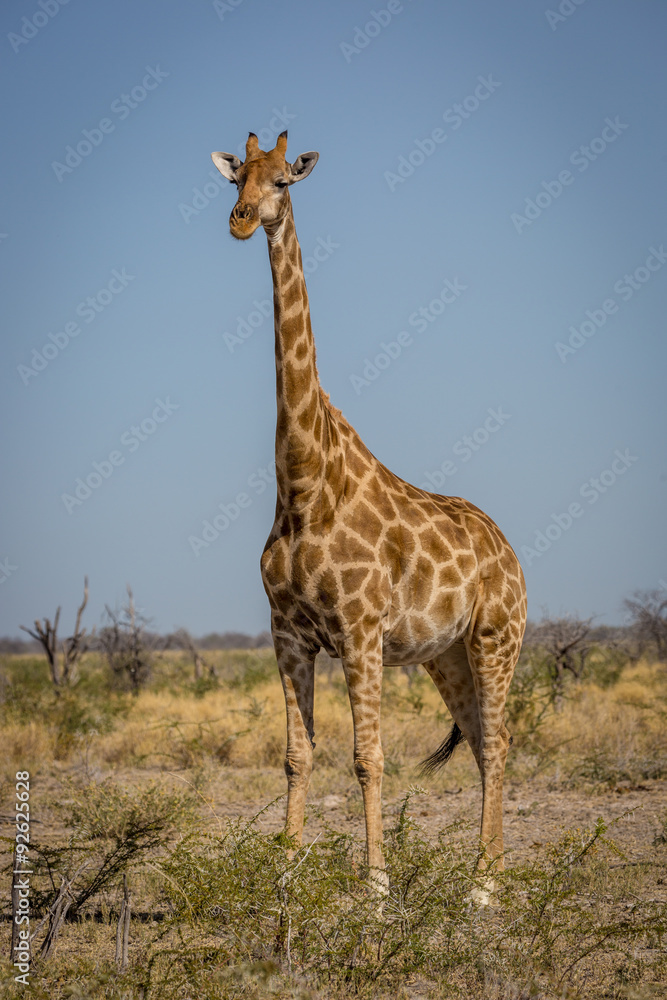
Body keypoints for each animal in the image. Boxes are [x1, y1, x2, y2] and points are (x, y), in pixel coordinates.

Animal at [212, 131, 527, 894]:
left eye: (283, 182)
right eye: (236, 180)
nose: (240, 220)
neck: (303, 485)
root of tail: (510, 551)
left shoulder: (358, 631)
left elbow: (366, 758)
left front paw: (376, 886)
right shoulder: (288, 634)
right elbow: (297, 756)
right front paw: (285, 880)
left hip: (496, 637)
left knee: (502, 741)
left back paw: (484, 884)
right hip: (446, 655)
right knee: (483, 743)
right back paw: (490, 874)